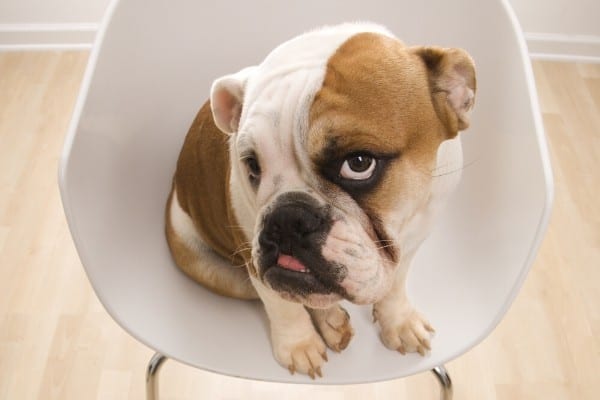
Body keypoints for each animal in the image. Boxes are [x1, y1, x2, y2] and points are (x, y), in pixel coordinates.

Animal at [166, 21, 476, 378]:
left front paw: (398, 322)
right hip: (214, 269)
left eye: (359, 163)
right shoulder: (256, 263)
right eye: (252, 165)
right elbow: (282, 306)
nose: (286, 218)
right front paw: (299, 345)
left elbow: (396, 285)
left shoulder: (412, 240)